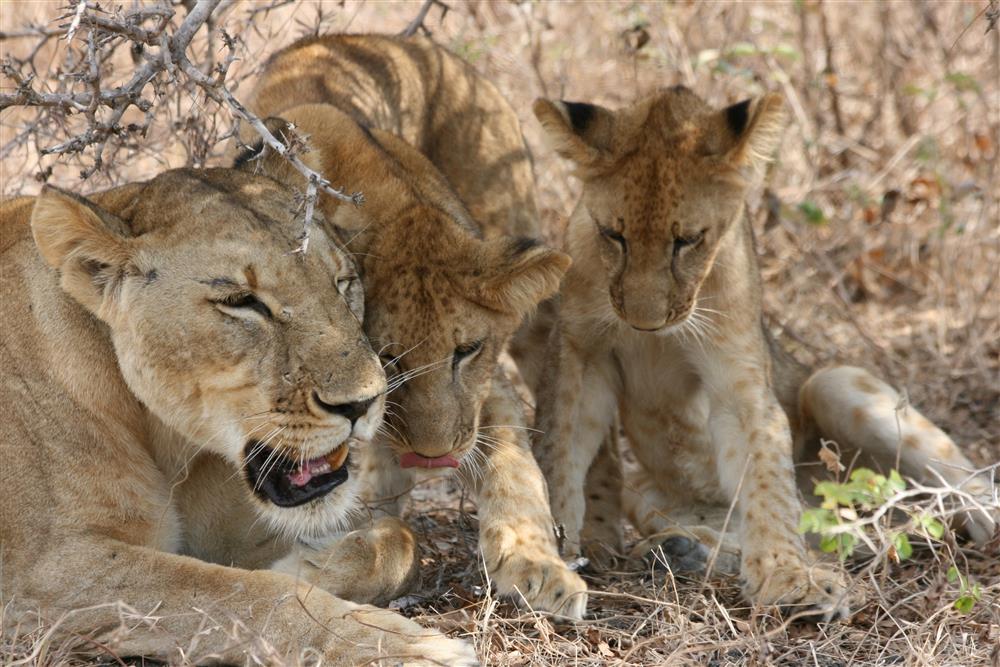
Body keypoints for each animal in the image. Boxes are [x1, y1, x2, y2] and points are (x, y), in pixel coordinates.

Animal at [0, 170, 476, 664]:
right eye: (241, 301)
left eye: (343, 282)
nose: (362, 403)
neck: (170, 448)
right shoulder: (43, 575)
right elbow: (239, 593)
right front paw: (404, 647)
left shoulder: (230, 530)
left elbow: (402, 538)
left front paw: (309, 565)